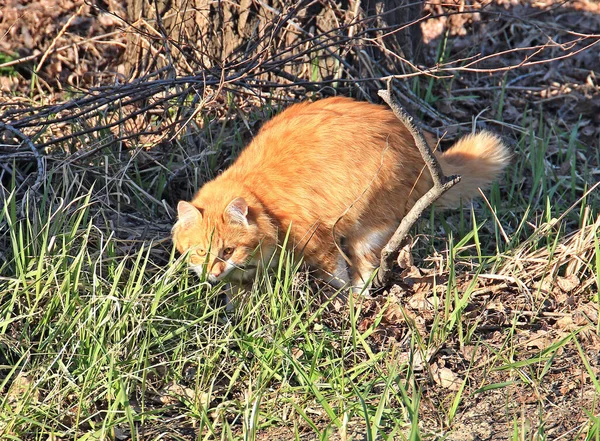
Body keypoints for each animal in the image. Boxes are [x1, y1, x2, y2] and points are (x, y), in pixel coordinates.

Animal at [173, 97, 510, 292]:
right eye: (201, 251)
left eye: (228, 250)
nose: (212, 273)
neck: (264, 201)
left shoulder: (319, 243)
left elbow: (337, 277)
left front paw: (341, 304)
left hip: (369, 226)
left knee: (366, 268)